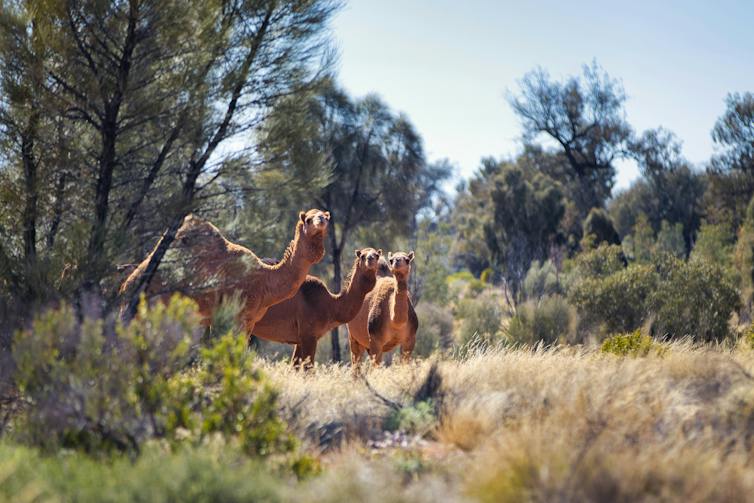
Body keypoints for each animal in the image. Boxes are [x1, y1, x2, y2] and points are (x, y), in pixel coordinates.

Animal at [120, 209, 329, 333]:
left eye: (326, 217)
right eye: (308, 219)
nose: (321, 221)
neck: (265, 280)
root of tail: (125, 288)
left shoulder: (249, 321)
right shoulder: (235, 317)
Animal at [252, 248, 382, 368]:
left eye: (377, 255)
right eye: (362, 256)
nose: (370, 259)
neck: (329, 305)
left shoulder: (300, 339)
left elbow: (295, 366)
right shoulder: (308, 335)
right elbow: (308, 368)